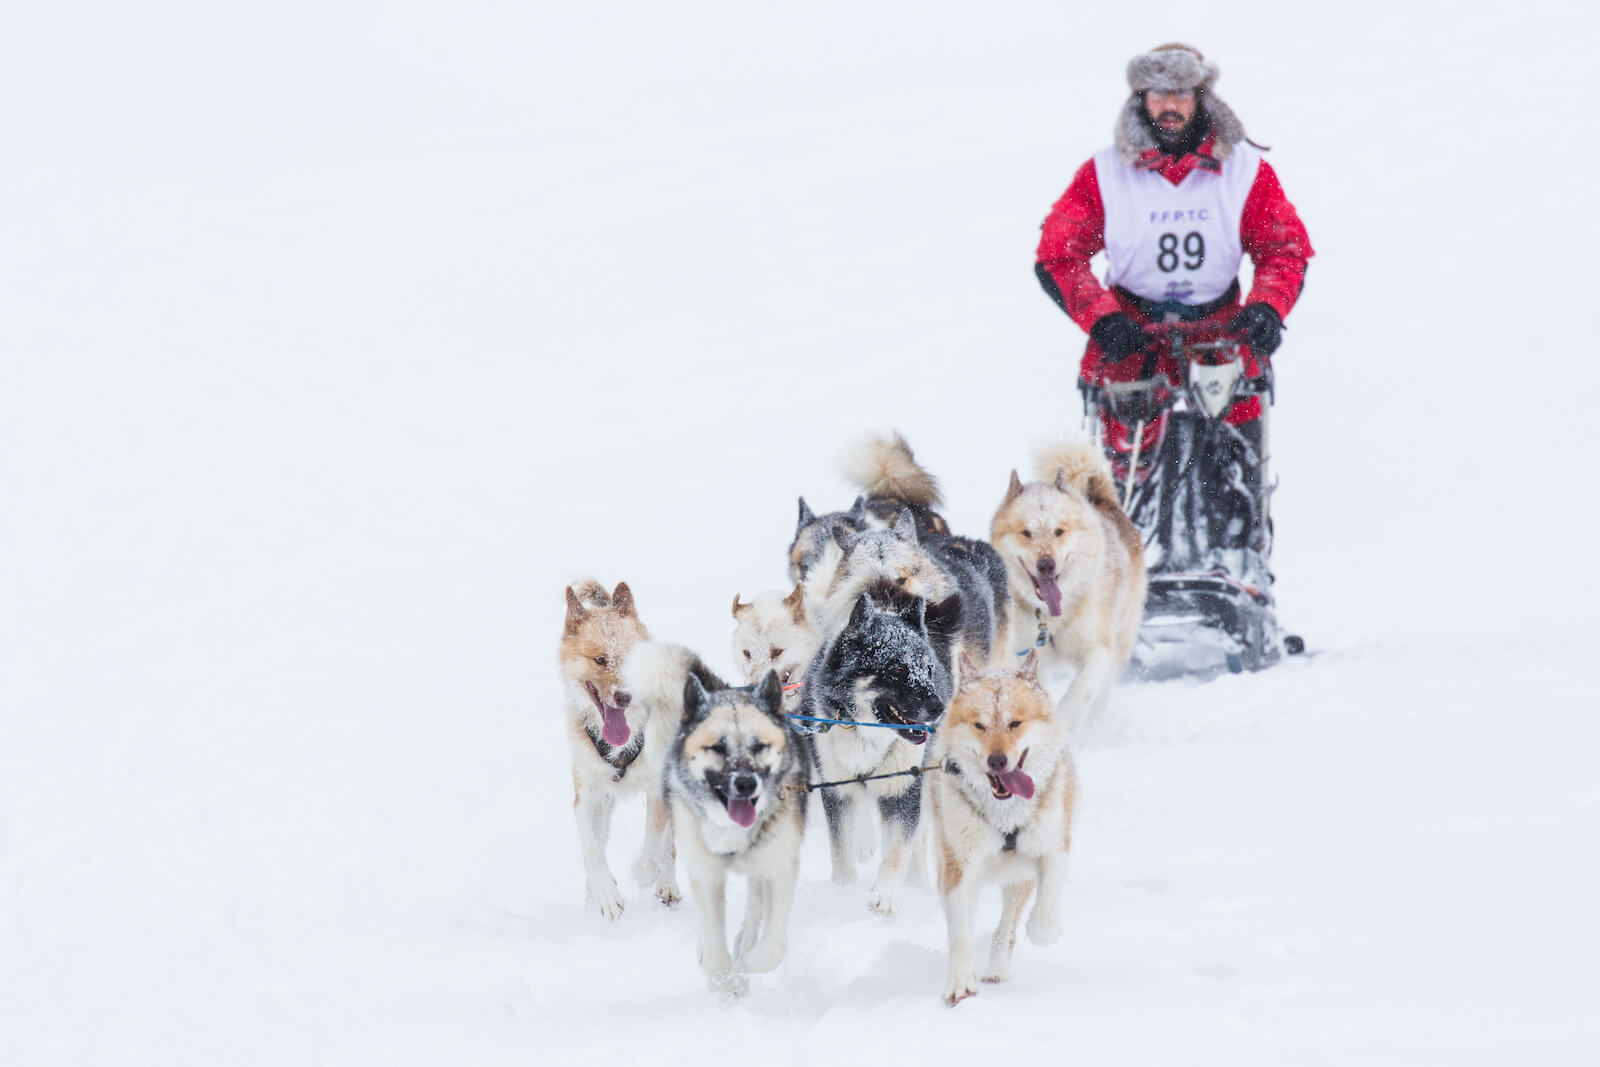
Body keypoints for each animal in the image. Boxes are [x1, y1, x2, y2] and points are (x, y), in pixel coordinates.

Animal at [556, 579, 675, 921]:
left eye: (632, 658)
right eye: (600, 660)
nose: (625, 696)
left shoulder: (659, 786)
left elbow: (655, 837)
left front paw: (644, 872)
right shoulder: (587, 796)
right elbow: (592, 849)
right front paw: (606, 894)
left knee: (670, 846)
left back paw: (667, 883)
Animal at [806, 591, 953, 921]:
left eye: (927, 669)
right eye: (897, 670)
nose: (938, 707)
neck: (867, 737)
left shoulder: (902, 794)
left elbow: (897, 850)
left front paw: (885, 896)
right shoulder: (837, 791)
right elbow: (840, 848)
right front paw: (843, 891)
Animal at [928, 646, 1075, 1004]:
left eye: (1015, 723)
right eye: (979, 725)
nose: (997, 760)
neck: (1005, 812)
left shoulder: (1053, 843)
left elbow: (1048, 895)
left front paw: (1043, 929)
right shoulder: (958, 864)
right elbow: (960, 928)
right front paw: (960, 980)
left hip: (1018, 876)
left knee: (1007, 923)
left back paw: (997, 964)